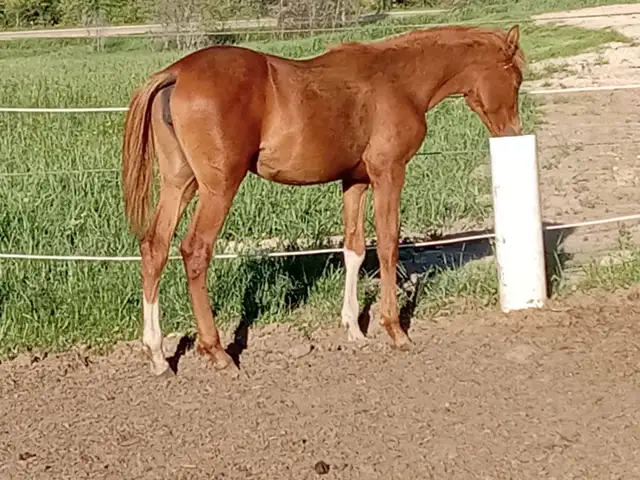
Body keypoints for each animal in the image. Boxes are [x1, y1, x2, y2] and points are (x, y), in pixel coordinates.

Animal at [121, 24, 525, 376]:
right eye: (516, 78)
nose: (513, 133)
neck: (398, 81)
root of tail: (176, 73)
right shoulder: (388, 173)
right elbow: (388, 245)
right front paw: (395, 330)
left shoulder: (355, 181)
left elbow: (355, 249)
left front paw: (355, 329)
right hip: (218, 188)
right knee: (195, 251)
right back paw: (218, 352)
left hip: (179, 183)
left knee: (155, 247)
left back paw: (158, 355)